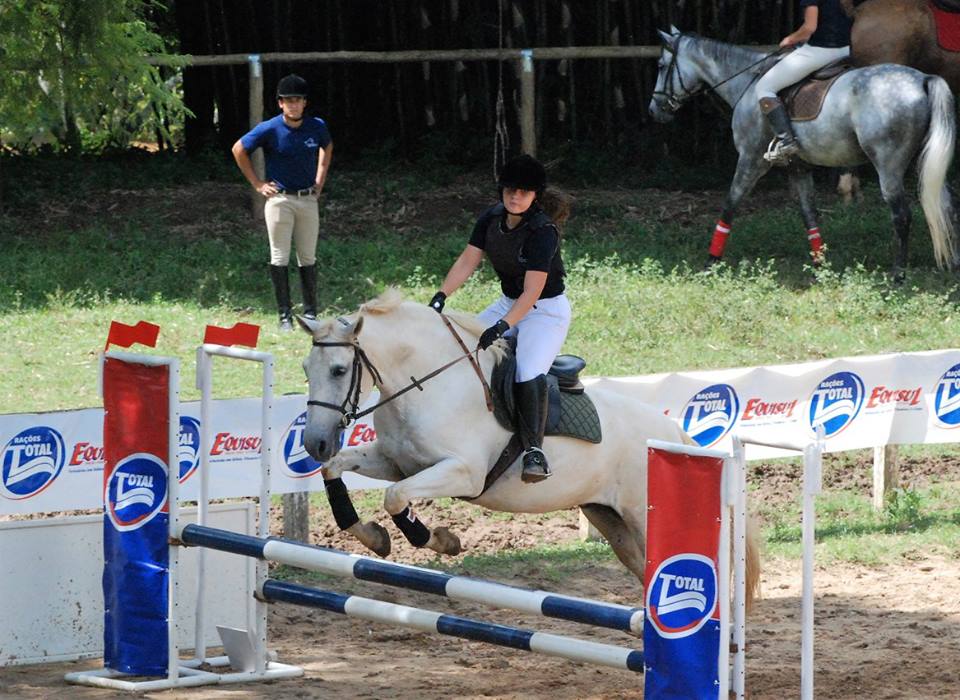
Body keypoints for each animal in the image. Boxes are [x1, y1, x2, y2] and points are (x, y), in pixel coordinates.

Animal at [298, 289, 761, 603]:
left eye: (339, 370)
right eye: (306, 368)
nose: (315, 442)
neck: (426, 383)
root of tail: (672, 435)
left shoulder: (461, 473)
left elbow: (396, 498)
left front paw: (444, 541)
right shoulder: (395, 461)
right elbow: (338, 470)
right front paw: (374, 538)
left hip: (645, 518)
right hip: (611, 521)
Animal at [649, 26, 958, 279]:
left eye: (662, 66)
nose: (654, 110)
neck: (747, 82)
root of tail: (923, 78)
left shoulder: (750, 160)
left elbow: (730, 205)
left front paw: (711, 261)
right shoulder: (798, 167)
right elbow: (809, 214)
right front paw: (821, 266)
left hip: (888, 166)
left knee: (902, 215)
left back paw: (898, 274)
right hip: (924, 162)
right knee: (946, 206)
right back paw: (952, 263)